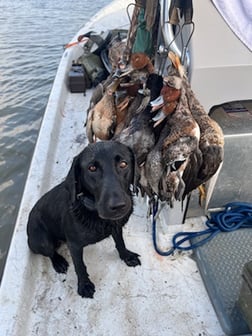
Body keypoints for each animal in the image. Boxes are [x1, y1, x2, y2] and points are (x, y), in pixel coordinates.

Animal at [27, 140, 142, 298]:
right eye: (92, 168)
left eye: (123, 164)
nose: (118, 206)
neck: (92, 211)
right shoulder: (74, 245)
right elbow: (80, 266)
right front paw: (84, 285)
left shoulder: (116, 227)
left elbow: (120, 243)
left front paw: (127, 256)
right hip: (42, 240)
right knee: (50, 253)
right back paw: (59, 262)